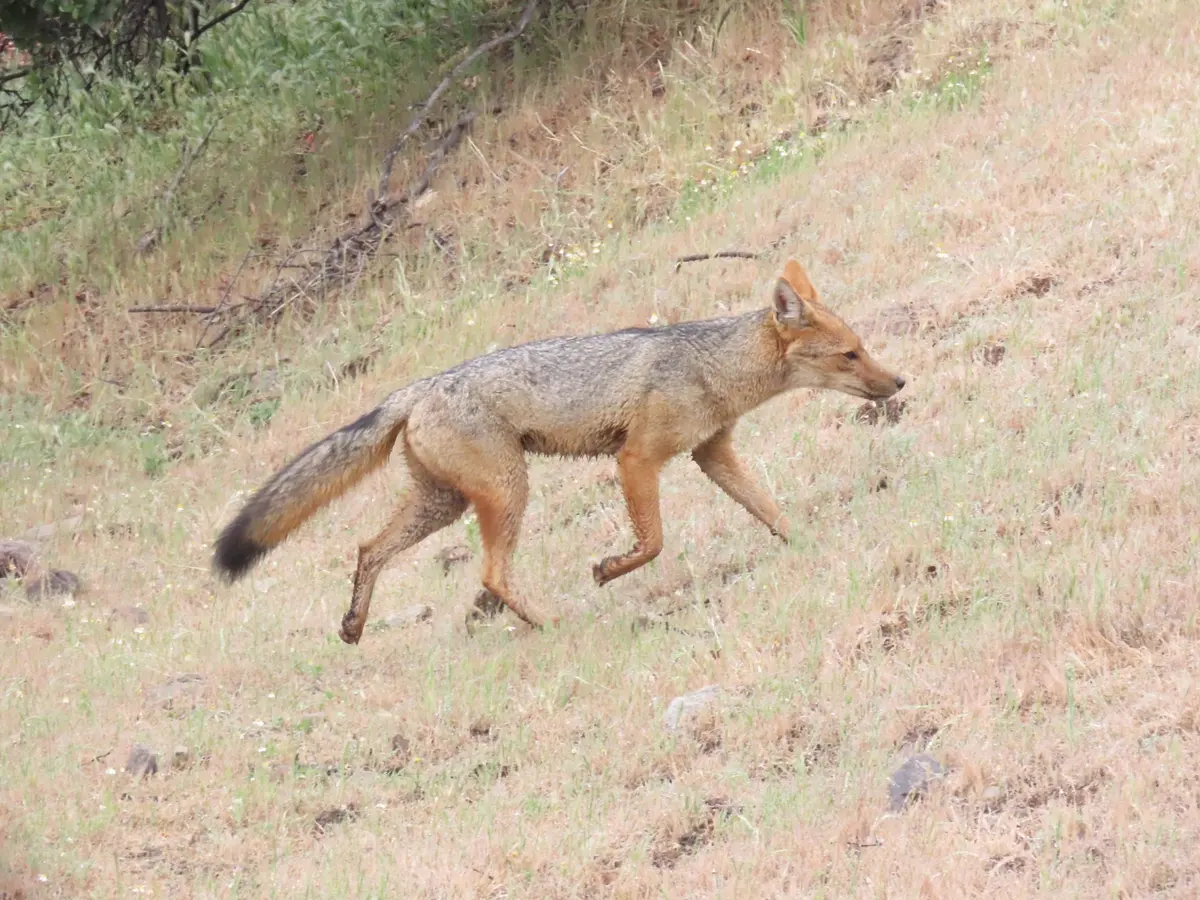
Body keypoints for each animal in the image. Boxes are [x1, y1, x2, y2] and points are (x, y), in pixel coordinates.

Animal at [213, 259, 906, 644]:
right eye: (850, 355)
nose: (898, 383)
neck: (711, 367)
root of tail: (416, 388)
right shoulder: (636, 460)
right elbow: (653, 542)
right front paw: (607, 570)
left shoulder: (711, 454)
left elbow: (772, 511)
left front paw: (809, 546)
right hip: (508, 492)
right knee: (490, 574)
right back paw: (548, 624)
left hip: (443, 505)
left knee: (366, 550)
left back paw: (354, 628)